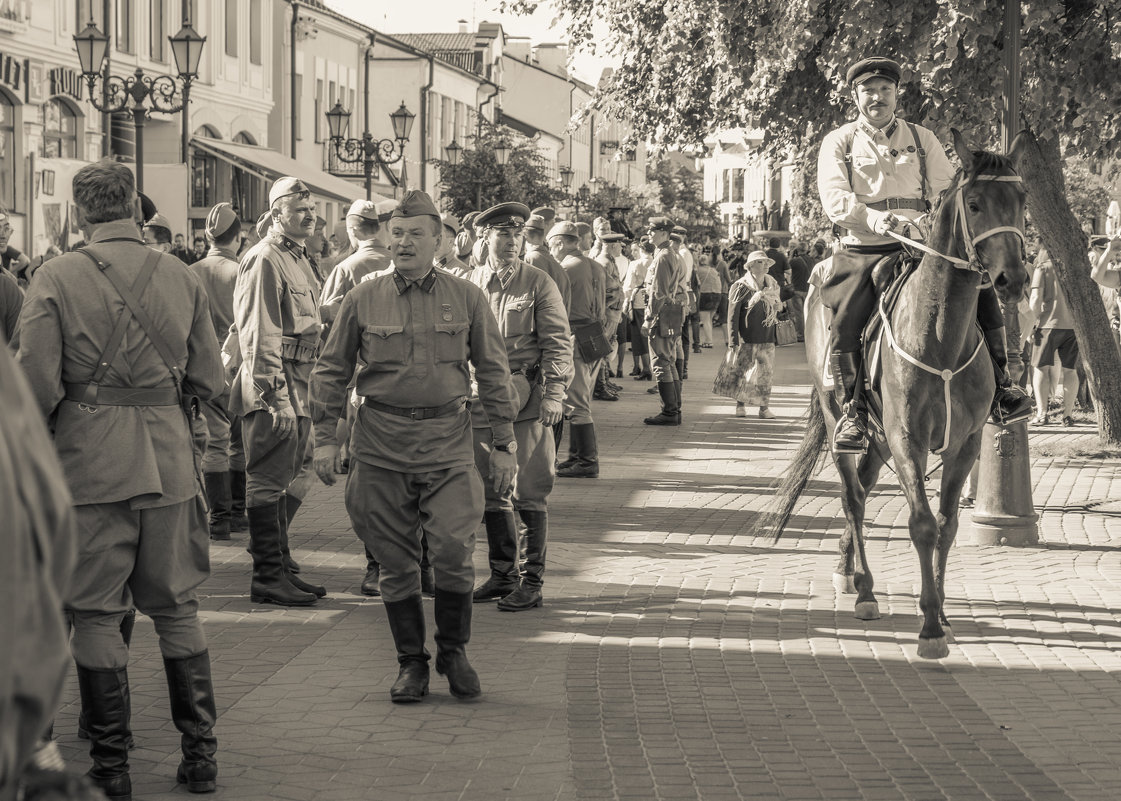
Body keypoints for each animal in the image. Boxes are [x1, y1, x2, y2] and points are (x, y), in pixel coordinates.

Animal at [757, 129, 1026, 658]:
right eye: (976, 203)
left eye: (1022, 201)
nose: (1014, 279)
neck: (940, 334)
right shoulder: (908, 439)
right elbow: (921, 523)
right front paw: (929, 628)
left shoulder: (964, 444)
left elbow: (947, 526)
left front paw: (942, 614)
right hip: (846, 420)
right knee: (852, 497)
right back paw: (863, 590)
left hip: (879, 438)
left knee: (862, 487)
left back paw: (848, 570)